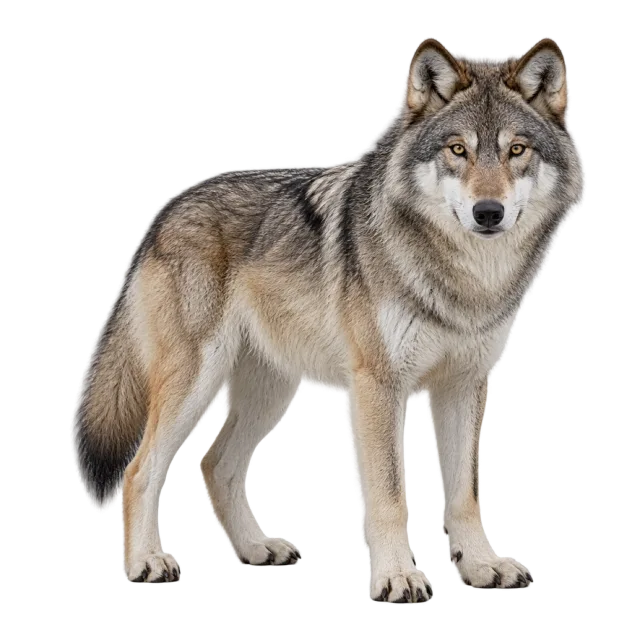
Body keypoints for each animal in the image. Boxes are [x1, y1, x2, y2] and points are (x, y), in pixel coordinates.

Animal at [73, 37, 584, 600]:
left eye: (517, 150)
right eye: (457, 150)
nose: (488, 212)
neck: (464, 278)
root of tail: (165, 214)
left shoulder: (465, 383)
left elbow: (465, 494)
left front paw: (481, 566)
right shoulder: (378, 385)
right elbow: (389, 494)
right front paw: (398, 577)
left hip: (272, 390)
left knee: (214, 464)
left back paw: (256, 549)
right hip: (195, 381)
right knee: (140, 470)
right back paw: (146, 562)